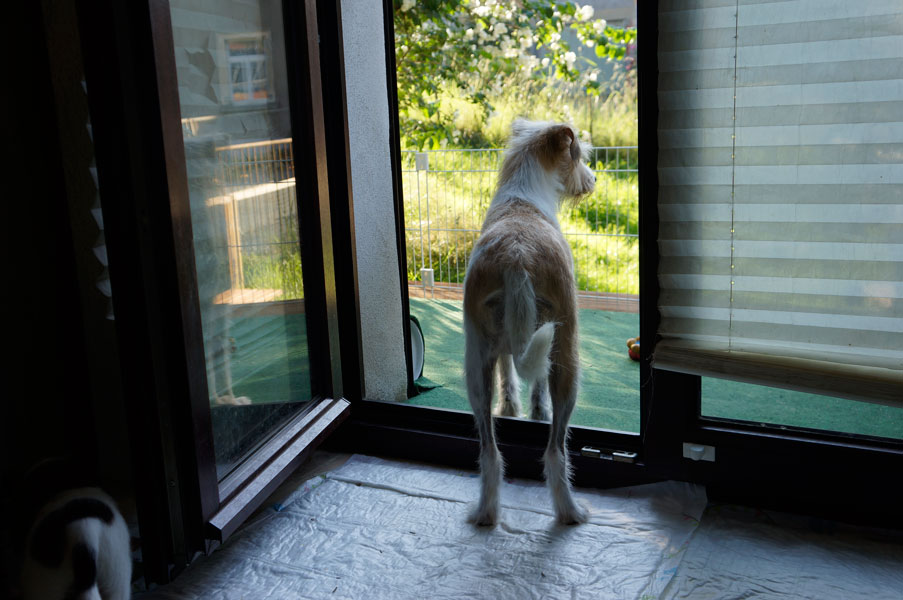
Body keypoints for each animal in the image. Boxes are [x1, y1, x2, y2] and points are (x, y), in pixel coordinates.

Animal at [463, 119, 595, 526]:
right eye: (580, 156)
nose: (595, 180)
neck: (523, 196)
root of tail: (517, 260)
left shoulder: (504, 348)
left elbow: (509, 376)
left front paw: (512, 409)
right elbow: (538, 388)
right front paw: (538, 412)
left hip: (475, 364)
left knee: (489, 451)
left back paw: (486, 513)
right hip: (567, 356)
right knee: (555, 450)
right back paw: (570, 512)